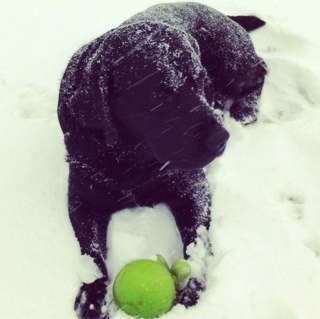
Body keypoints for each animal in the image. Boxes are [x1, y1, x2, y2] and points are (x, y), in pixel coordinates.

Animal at [57, 1, 268, 318]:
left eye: (200, 81)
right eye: (159, 93)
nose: (222, 139)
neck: (131, 155)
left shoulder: (192, 185)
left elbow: (197, 236)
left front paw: (192, 281)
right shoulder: (83, 196)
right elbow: (90, 251)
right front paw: (92, 295)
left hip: (232, 62)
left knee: (260, 70)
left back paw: (245, 108)